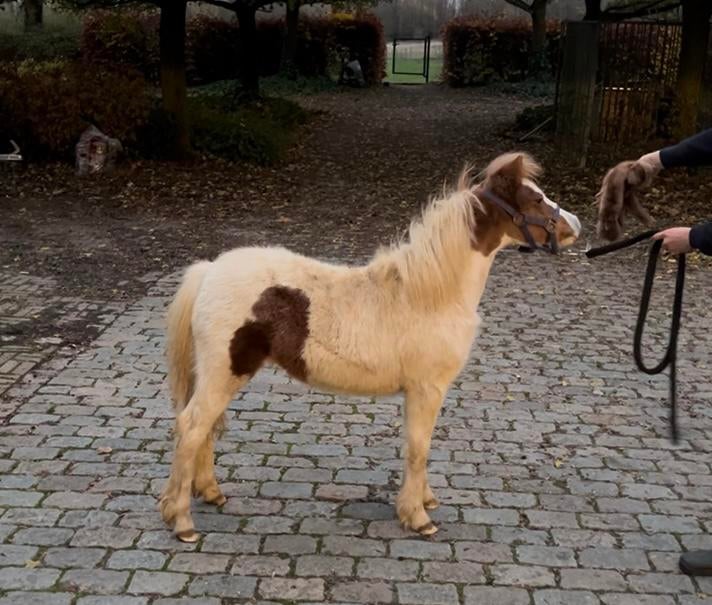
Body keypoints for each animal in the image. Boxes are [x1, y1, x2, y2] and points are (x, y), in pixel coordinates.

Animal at [160, 152, 582, 542]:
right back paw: (182, 521)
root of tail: (209, 271)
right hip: (225, 373)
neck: (430, 294)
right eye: (535, 198)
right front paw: (418, 517)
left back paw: (210, 493)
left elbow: (417, 446)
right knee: (192, 425)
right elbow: (419, 447)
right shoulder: (426, 389)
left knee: (205, 427)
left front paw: (423, 501)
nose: (575, 225)